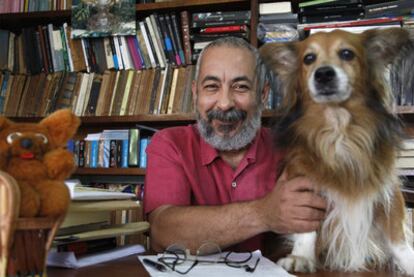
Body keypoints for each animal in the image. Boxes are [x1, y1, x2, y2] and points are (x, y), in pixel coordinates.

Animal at [260, 29, 414, 272]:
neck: (338, 127)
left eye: (346, 54)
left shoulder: (387, 188)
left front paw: (408, 261)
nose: (323, 74)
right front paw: (301, 256)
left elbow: (397, 234)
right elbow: (306, 229)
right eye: (309, 59)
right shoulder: (303, 187)